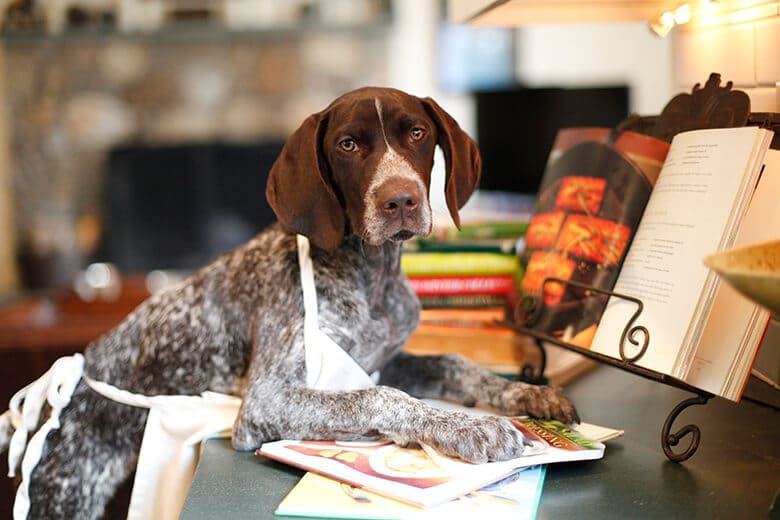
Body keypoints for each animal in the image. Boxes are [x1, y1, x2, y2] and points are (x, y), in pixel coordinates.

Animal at [0, 87, 572, 516]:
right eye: (347, 145)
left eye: (417, 133)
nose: (402, 200)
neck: (371, 277)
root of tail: (64, 381)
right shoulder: (269, 400)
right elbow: (383, 398)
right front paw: (471, 426)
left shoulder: (381, 358)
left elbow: (453, 362)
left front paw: (525, 394)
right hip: (63, 493)